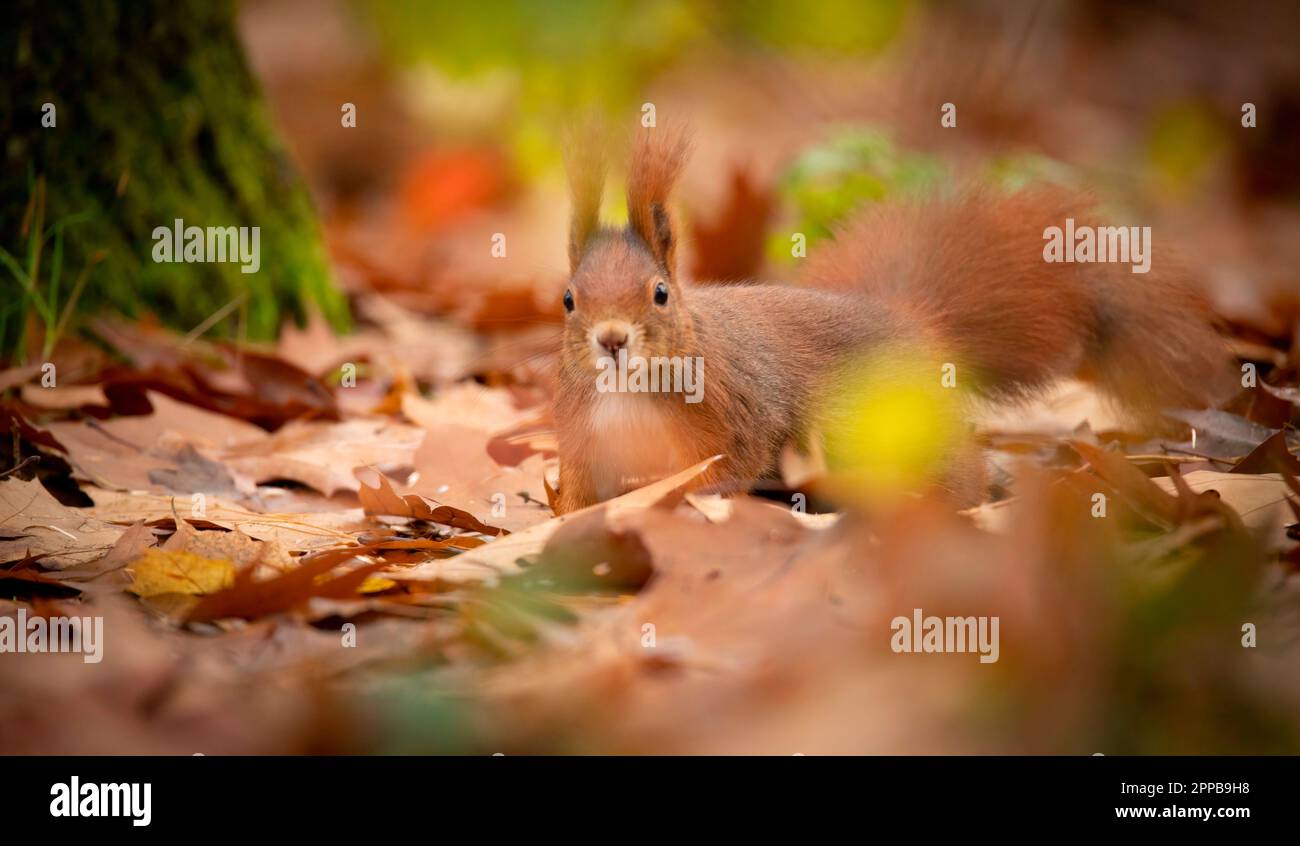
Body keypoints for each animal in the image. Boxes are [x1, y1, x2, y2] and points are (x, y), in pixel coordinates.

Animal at [551, 128, 1227, 512]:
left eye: (661, 294)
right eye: (568, 299)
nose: (611, 340)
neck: (630, 390)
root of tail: (910, 321)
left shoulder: (742, 403)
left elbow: (741, 456)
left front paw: (696, 495)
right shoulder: (585, 436)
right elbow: (581, 488)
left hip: (872, 419)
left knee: (958, 465)